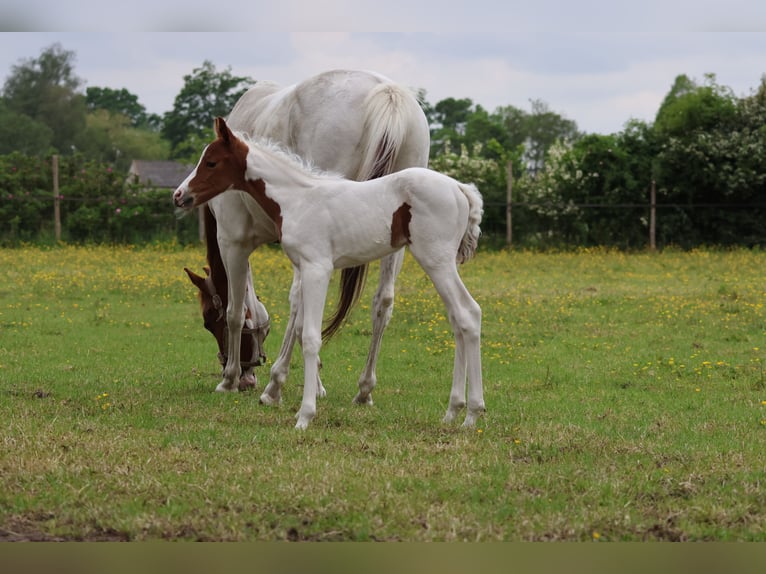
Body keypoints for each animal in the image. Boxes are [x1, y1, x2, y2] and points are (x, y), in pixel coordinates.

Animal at [174, 117, 484, 430]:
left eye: (211, 162)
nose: (179, 195)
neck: (297, 198)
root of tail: (460, 188)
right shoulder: (303, 268)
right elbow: (300, 328)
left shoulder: (317, 269)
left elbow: (311, 337)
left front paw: (305, 414)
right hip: (441, 263)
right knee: (458, 319)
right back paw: (453, 411)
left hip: (436, 260)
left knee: (468, 313)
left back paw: (472, 413)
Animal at [183, 70, 430, 405]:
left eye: (209, 319)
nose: (248, 376)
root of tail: (387, 94)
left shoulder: (233, 241)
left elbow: (237, 311)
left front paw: (230, 378)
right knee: (383, 301)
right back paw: (364, 389)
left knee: (299, 301)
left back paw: (275, 383)